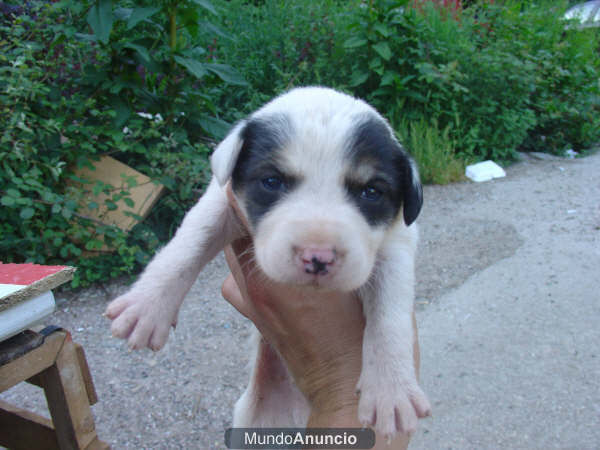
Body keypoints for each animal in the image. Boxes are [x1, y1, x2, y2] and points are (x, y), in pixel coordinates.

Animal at [105, 86, 428, 438]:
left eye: (371, 192)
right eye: (272, 181)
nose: (318, 257)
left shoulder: (397, 243)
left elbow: (389, 312)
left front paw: (390, 390)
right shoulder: (220, 200)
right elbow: (189, 242)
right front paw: (146, 307)